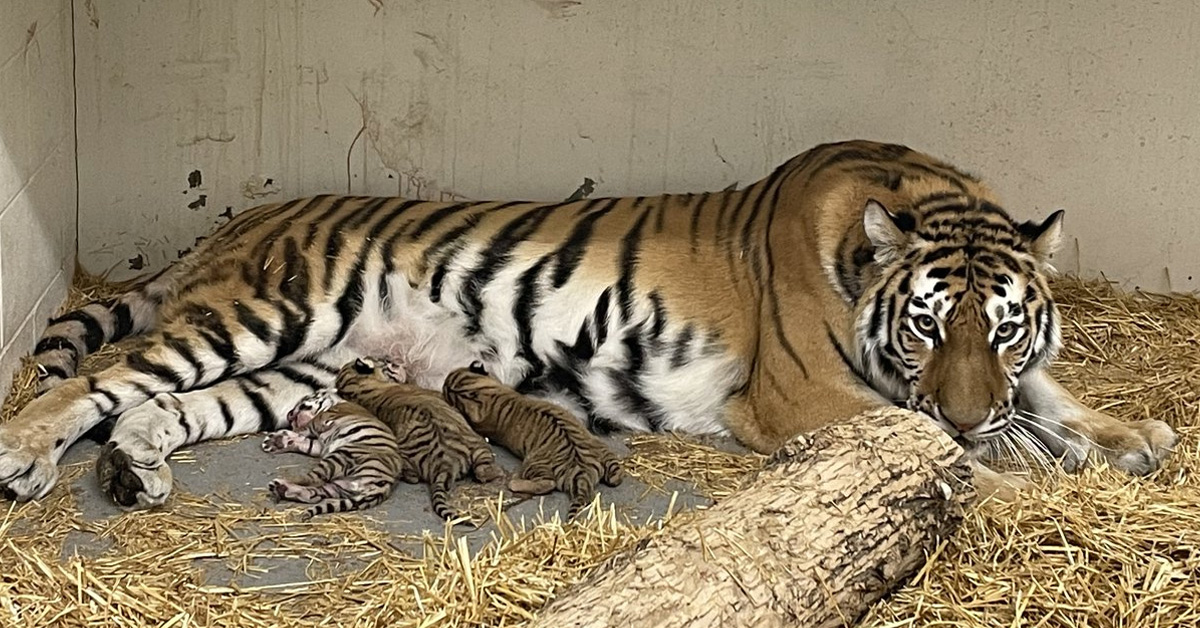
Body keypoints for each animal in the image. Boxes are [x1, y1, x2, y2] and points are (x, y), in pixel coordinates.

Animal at [0, 138, 1180, 511]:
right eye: (927, 330)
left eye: (1005, 328)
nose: (973, 411)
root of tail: (241, 219)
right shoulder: (809, 394)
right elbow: (949, 453)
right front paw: (1023, 474)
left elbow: (1055, 395)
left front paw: (1130, 437)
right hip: (268, 310)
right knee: (97, 380)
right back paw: (27, 455)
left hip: (311, 369)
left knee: (161, 405)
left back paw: (136, 469)